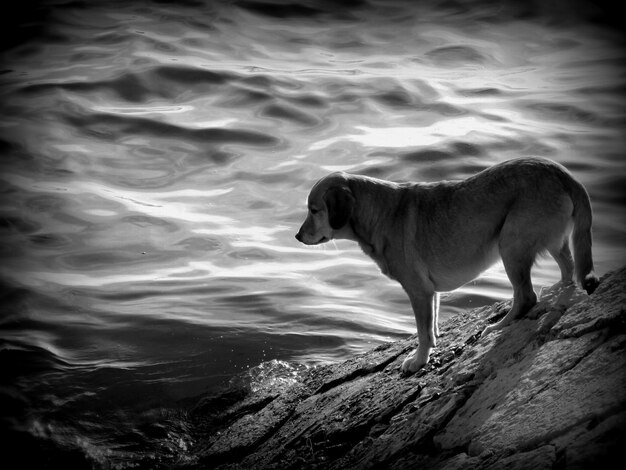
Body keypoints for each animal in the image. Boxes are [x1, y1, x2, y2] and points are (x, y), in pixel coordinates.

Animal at [294, 158, 596, 374]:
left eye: (314, 210)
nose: (297, 236)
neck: (379, 213)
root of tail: (562, 173)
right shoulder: (431, 292)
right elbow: (433, 323)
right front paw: (432, 343)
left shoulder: (418, 291)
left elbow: (422, 331)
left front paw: (418, 360)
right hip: (549, 242)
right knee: (568, 267)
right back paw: (559, 290)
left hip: (511, 244)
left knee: (526, 296)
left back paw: (499, 326)